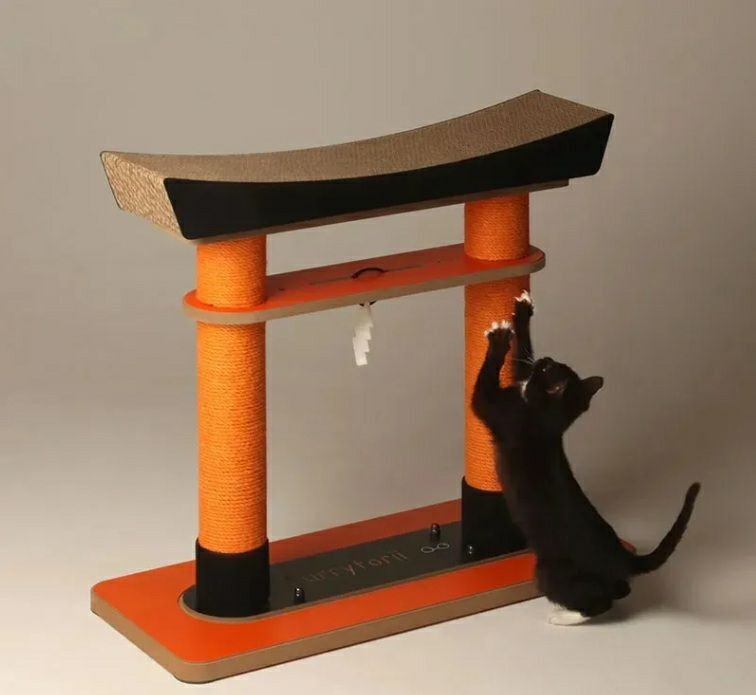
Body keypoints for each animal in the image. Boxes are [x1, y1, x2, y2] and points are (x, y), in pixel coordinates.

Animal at [471, 290, 701, 625]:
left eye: (548, 369)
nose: (546, 358)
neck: (547, 418)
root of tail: (623, 557)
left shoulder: (501, 410)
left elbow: (483, 389)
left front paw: (499, 340)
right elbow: (520, 360)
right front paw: (523, 311)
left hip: (549, 569)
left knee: (598, 603)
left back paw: (564, 616)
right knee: (619, 592)